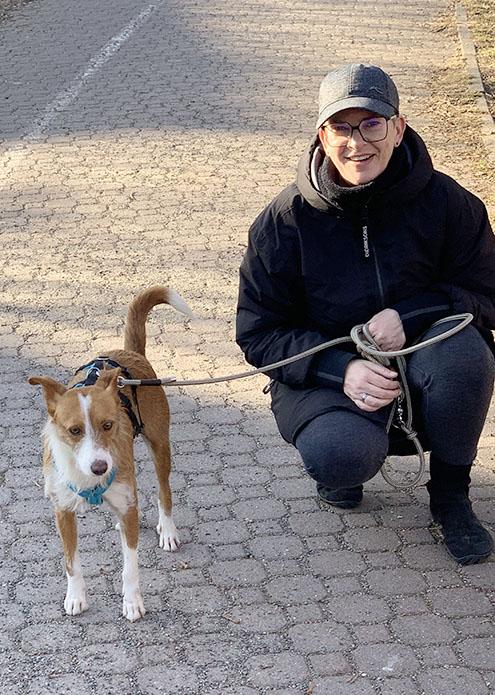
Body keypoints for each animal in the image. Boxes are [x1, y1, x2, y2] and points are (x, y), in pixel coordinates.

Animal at [27, 286, 194, 624]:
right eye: (74, 430)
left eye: (108, 425)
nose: (100, 467)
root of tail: (129, 353)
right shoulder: (62, 511)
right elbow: (71, 563)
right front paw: (76, 597)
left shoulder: (128, 504)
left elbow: (130, 567)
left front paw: (132, 603)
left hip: (160, 445)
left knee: (164, 492)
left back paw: (168, 530)